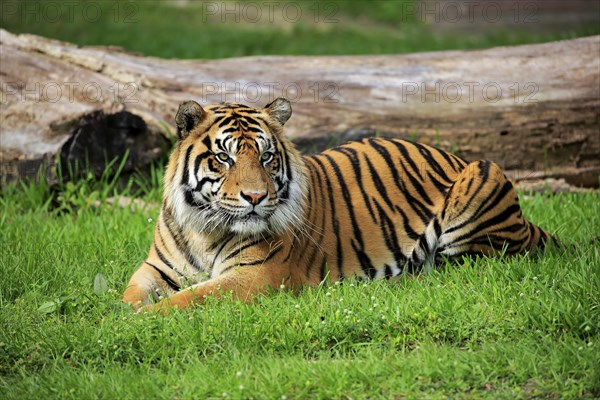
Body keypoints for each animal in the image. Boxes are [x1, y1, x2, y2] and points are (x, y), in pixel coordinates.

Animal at [120, 97, 552, 312]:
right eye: (224, 158)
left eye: (266, 157)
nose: (256, 198)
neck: (204, 230)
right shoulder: (154, 268)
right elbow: (130, 294)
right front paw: (123, 315)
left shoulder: (254, 275)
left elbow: (189, 298)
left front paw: (143, 319)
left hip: (481, 178)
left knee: (459, 269)